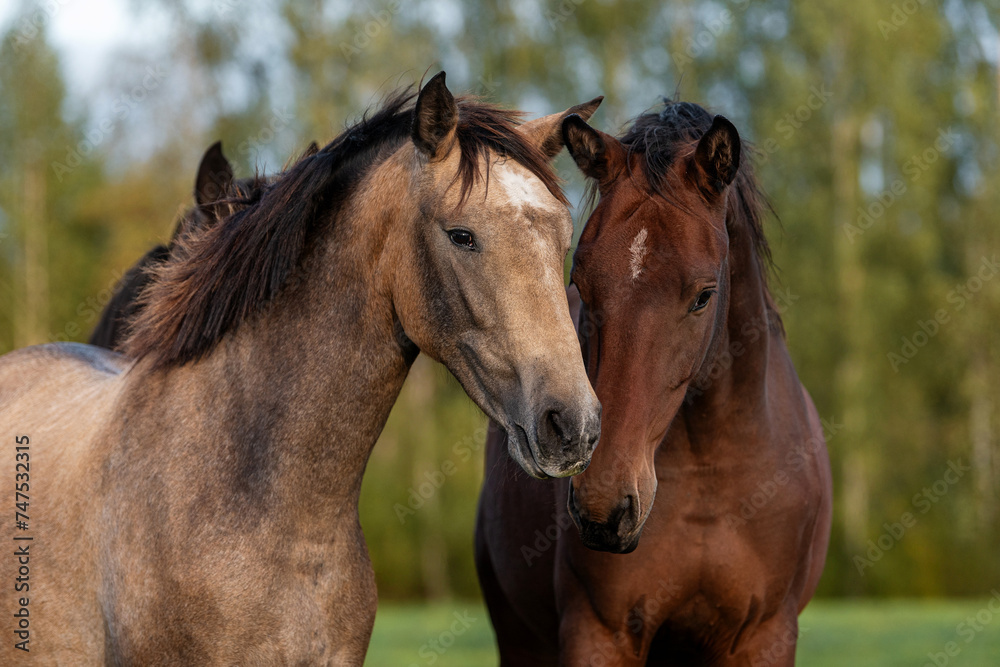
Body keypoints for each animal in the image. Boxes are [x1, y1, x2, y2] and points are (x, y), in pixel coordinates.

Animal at [476, 100, 832, 666]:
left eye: (704, 295)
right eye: (580, 284)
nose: (604, 504)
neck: (711, 472)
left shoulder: (765, 635)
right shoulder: (600, 633)